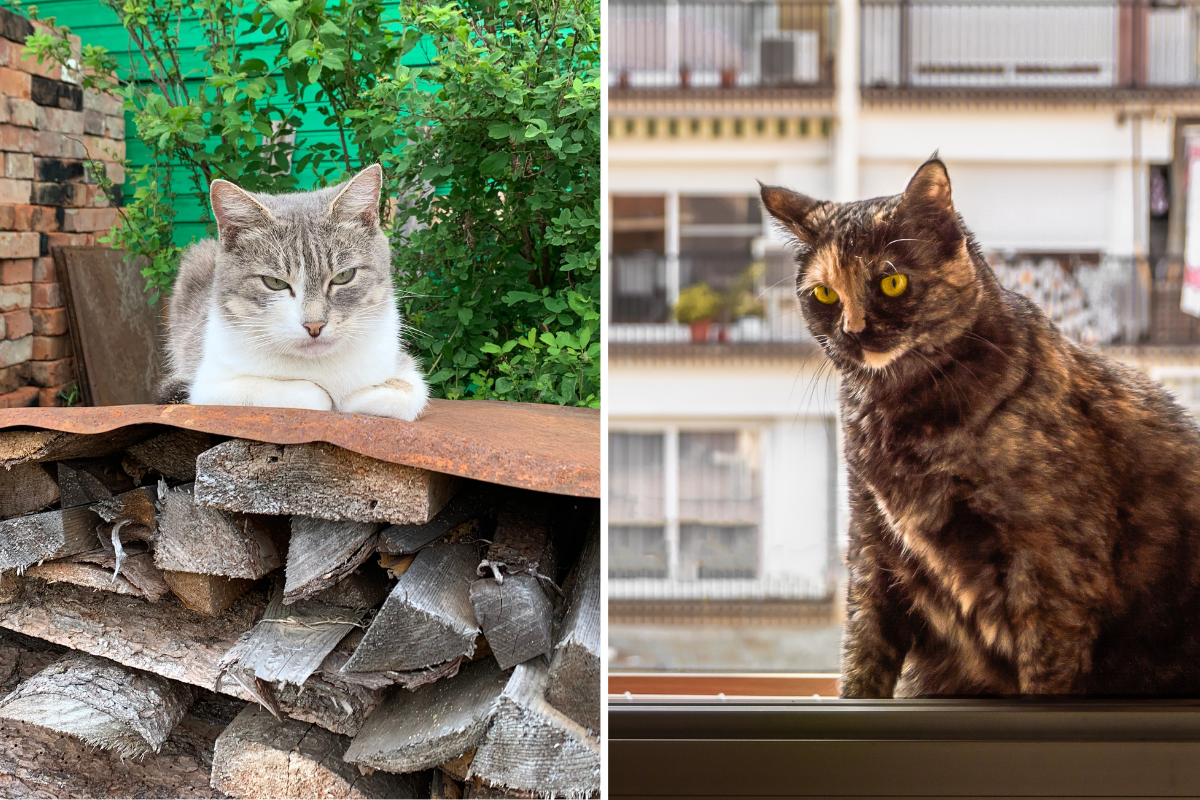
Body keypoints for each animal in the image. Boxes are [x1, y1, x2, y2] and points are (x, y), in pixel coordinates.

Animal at [153, 165, 427, 422]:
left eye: (343, 276)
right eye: (274, 282)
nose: (315, 325)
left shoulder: (402, 368)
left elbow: (400, 394)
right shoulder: (209, 386)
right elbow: (309, 395)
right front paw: (328, 397)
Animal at [763, 159, 1200, 695]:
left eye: (892, 283)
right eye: (824, 294)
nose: (853, 331)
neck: (898, 412)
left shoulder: (1053, 567)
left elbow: (1044, 673)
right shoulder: (871, 542)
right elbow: (862, 654)